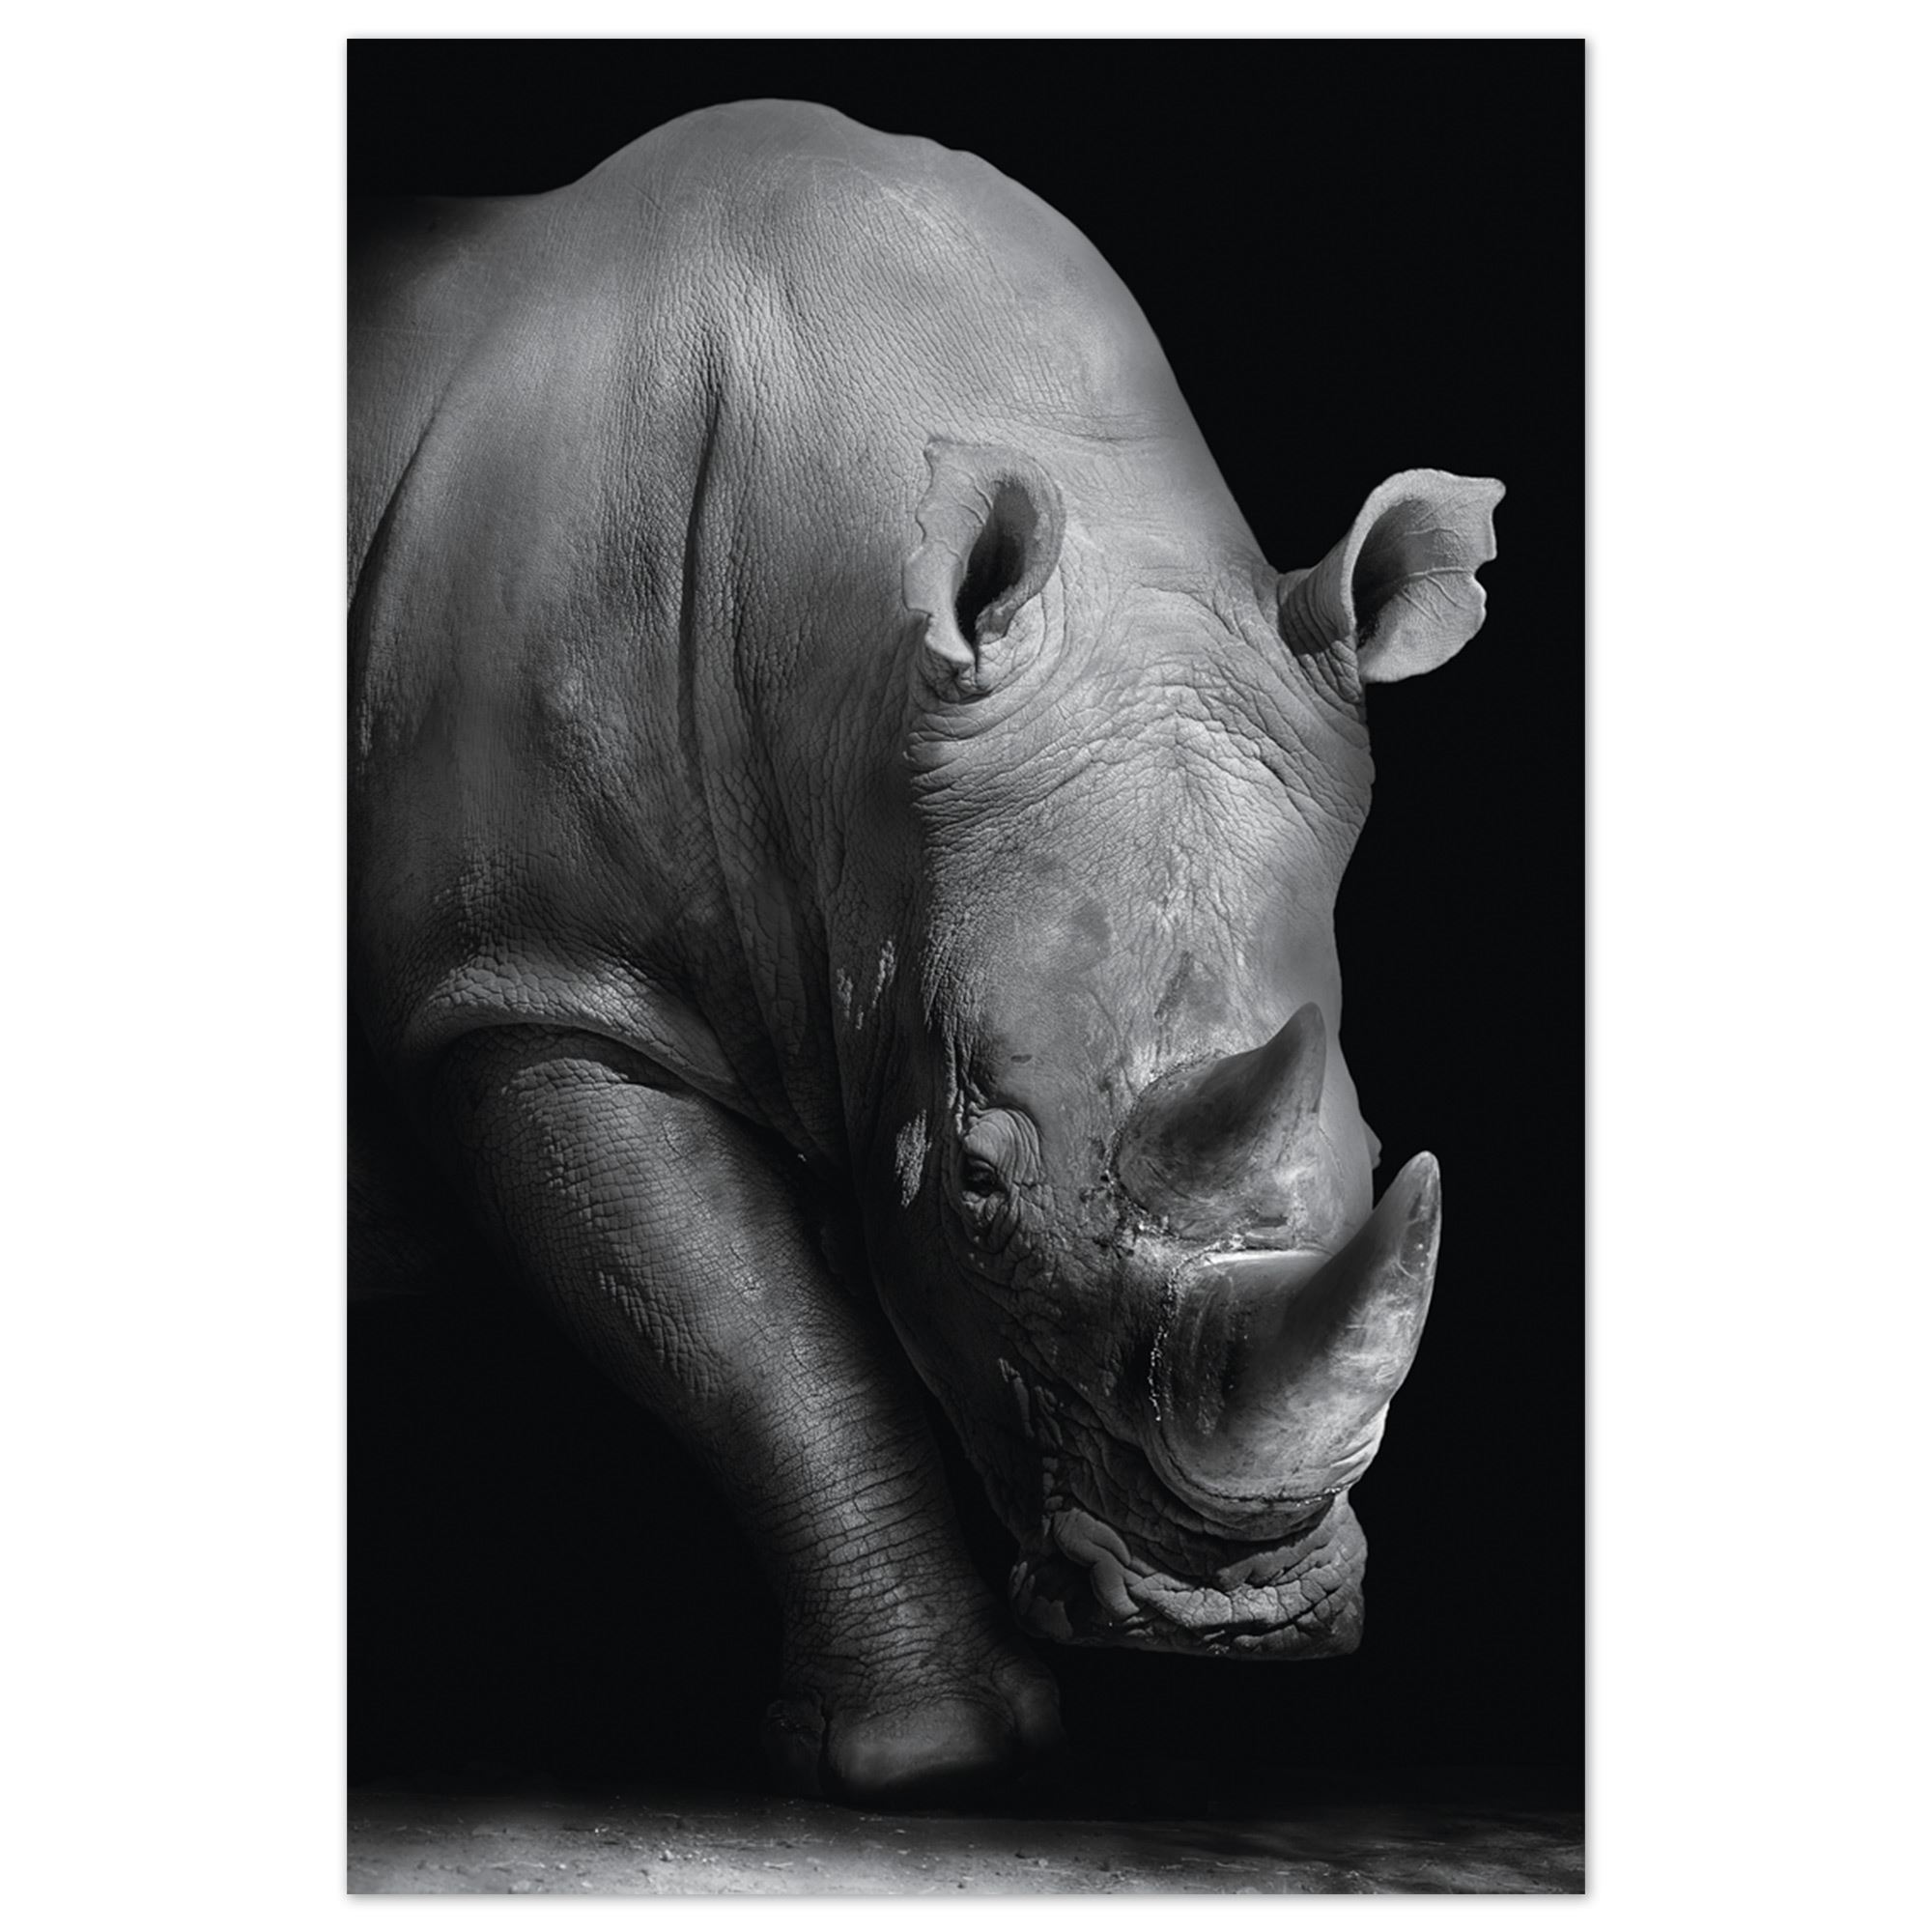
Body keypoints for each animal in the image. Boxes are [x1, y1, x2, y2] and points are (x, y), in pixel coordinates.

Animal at [349, 99, 1502, 1805]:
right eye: (976, 1182)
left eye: (1368, 1156)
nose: (1230, 1619)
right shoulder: (529, 982)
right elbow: (754, 1337)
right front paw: (926, 1759)